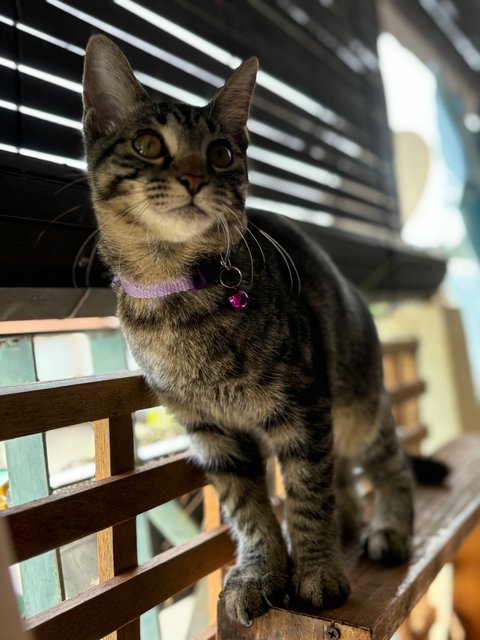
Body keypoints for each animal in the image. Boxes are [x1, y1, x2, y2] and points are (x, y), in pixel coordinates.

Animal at [82, 33, 416, 624]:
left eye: (221, 153)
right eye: (147, 144)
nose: (195, 178)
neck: (176, 296)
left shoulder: (304, 408)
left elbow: (307, 492)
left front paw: (315, 571)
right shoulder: (210, 432)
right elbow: (248, 508)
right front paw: (262, 571)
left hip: (359, 405)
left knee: (390, 469)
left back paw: (387, 527)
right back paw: (351, 519)